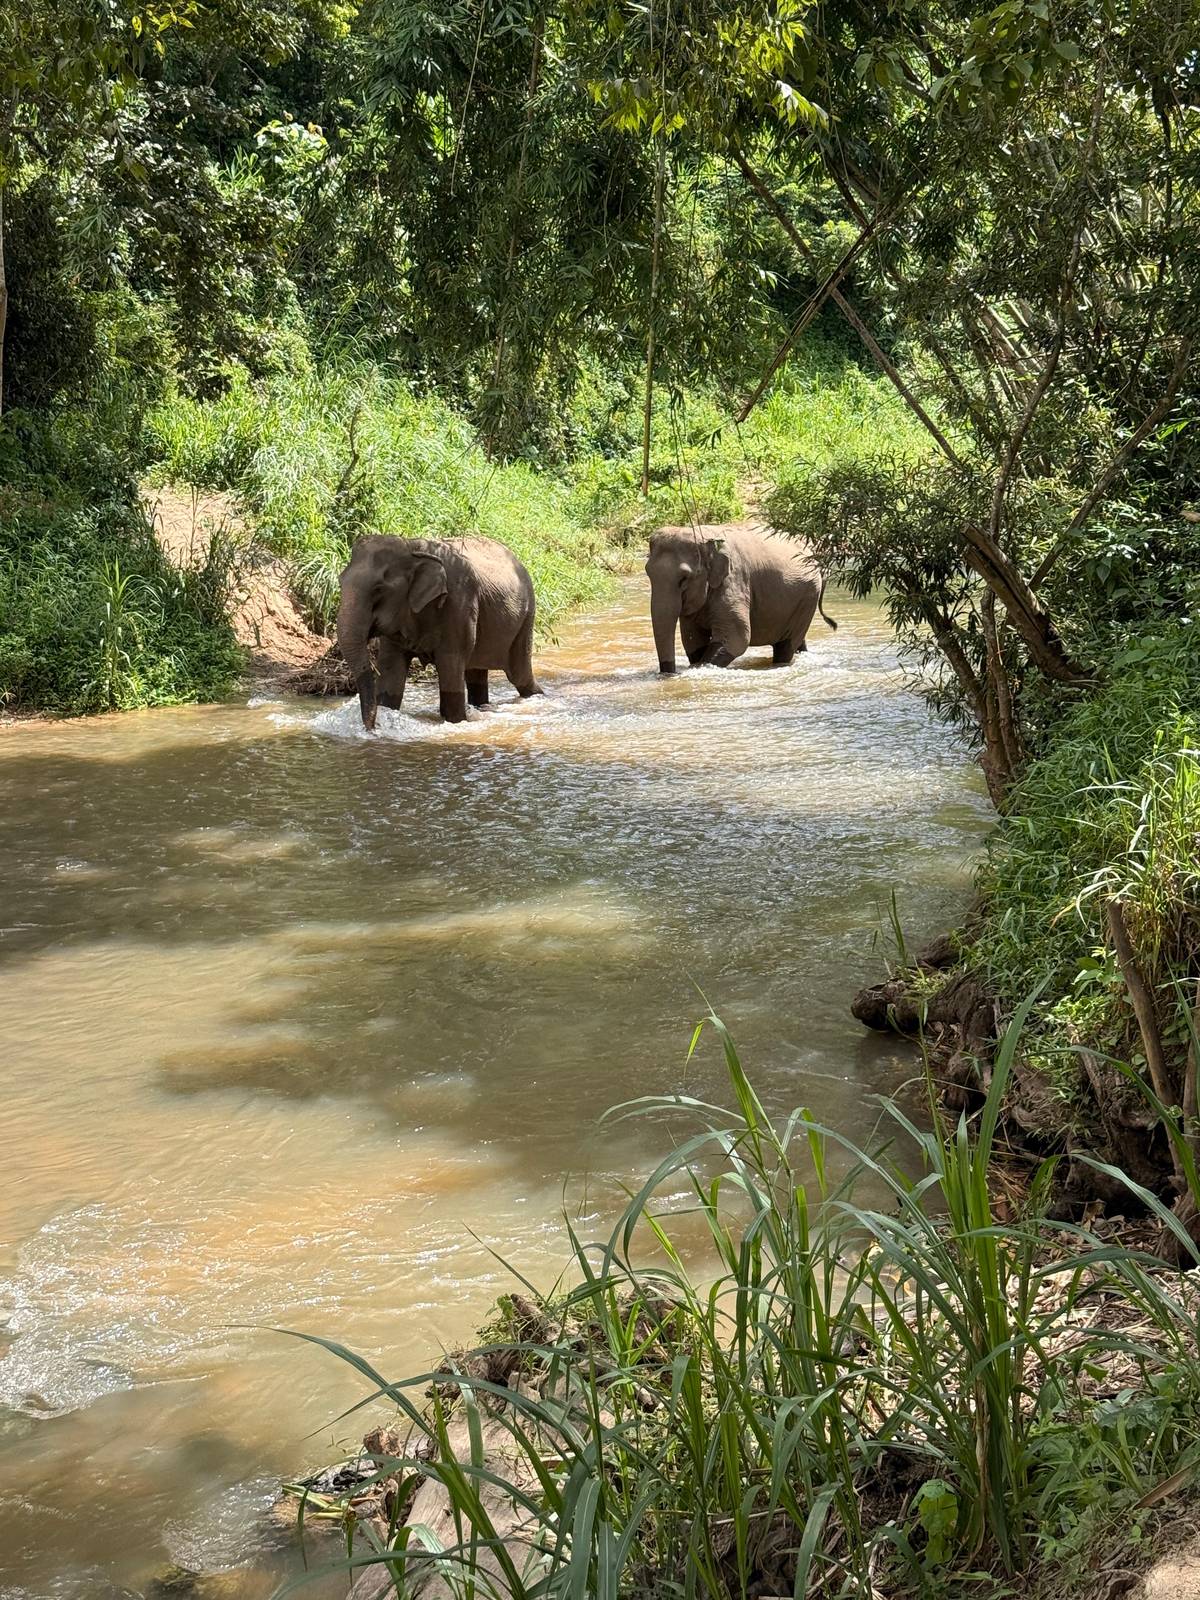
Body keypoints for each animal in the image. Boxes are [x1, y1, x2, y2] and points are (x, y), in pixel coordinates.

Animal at [337, 534, 542, 728]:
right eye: (340, 582)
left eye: (378, 589)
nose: (372, 728)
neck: (411, 547)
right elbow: (391, 670)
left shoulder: (459, 604)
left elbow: (450, 665)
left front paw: (456, 721)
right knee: (477, 674)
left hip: (526, 618)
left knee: (519, 675)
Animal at [645, 523, 837, 674]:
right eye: (648, 573)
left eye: (684, 579)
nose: (670, 673)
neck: (705, 537)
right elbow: (694, 643)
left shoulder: (733, 580)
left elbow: (736, 639)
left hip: (808, 597)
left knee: (786, 646)